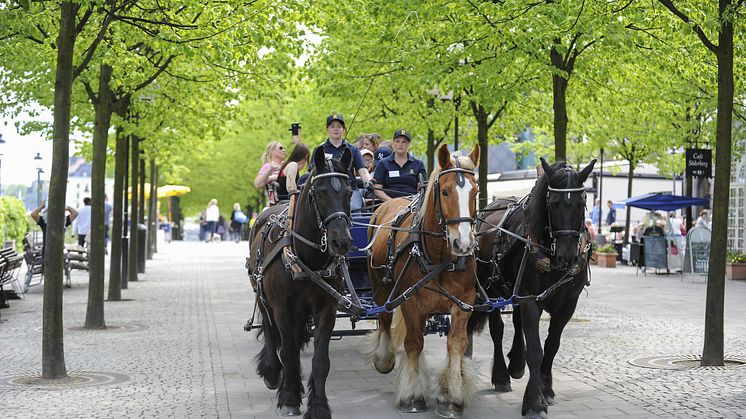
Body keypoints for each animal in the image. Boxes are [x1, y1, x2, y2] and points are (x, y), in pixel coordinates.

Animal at [247, 148, 354, 419]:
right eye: (320, 193)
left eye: (349, 191)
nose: (341, 241)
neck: (306, 256)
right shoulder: (282, 308)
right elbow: (288, 352)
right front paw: (289, 398)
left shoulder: (326, 308)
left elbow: (321, 360)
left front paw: (318, 406)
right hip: (262, 296)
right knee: (272, 334)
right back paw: (272, 372)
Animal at [364, 144, 480, 416]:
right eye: (445, 192)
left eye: (475, 192)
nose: (463, 244)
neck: (438, 258)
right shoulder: (410, 301)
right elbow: (413, 343)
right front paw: (413, 395)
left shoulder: (464, 303)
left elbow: (456, 343)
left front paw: (453, 395)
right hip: (382, 289)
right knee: (384, 318)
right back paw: (384, 359)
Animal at [468, 158, 596, 419]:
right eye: (553, 204)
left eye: (581, 203)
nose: (567, 257)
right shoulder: (529, 299)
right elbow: (536, 350)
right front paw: (534, 403)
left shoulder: (568, 304)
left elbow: (552, 345)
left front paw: (546, 389)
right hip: (491, 290)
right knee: (498, 329)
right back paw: (502, 375)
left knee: (517, 323)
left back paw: (516, 363)